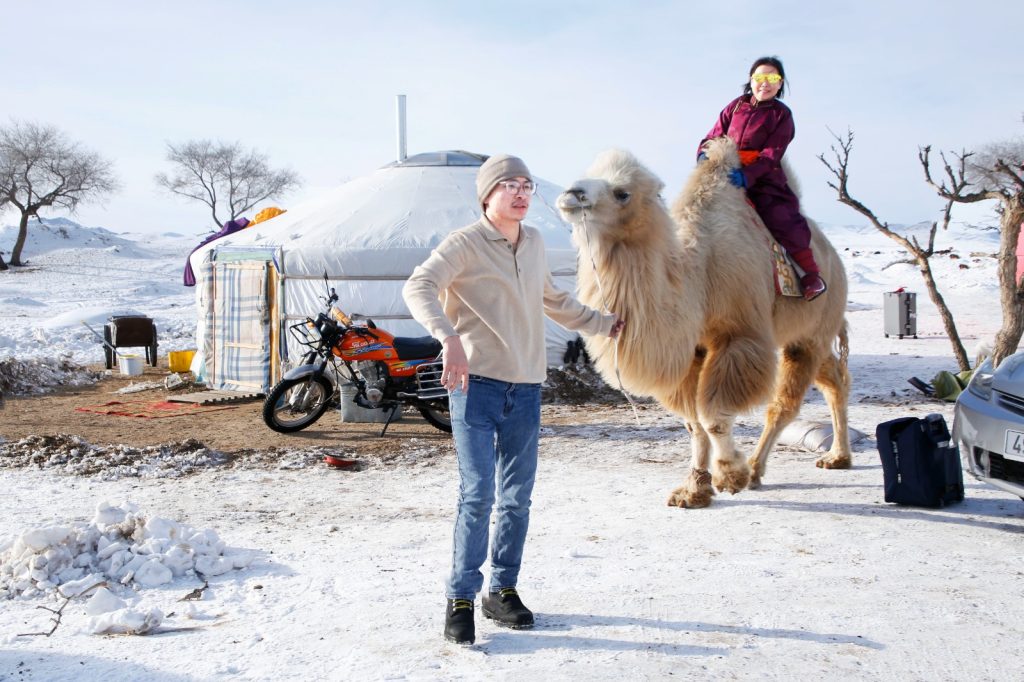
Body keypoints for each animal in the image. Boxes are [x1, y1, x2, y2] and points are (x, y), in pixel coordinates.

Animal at [557, 137, 851, 503]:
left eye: (622, 192)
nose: (571, 194)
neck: (698, 278)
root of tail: (834, 258)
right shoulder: (691, 350)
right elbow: (693, 423)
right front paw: (693, 490)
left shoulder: (738, 337)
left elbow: (713, 417)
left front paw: (730, 476)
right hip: (806, 333)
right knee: (834, 379)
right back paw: (837, 457)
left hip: (813, 330)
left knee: (783, 404)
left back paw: (758, 469)